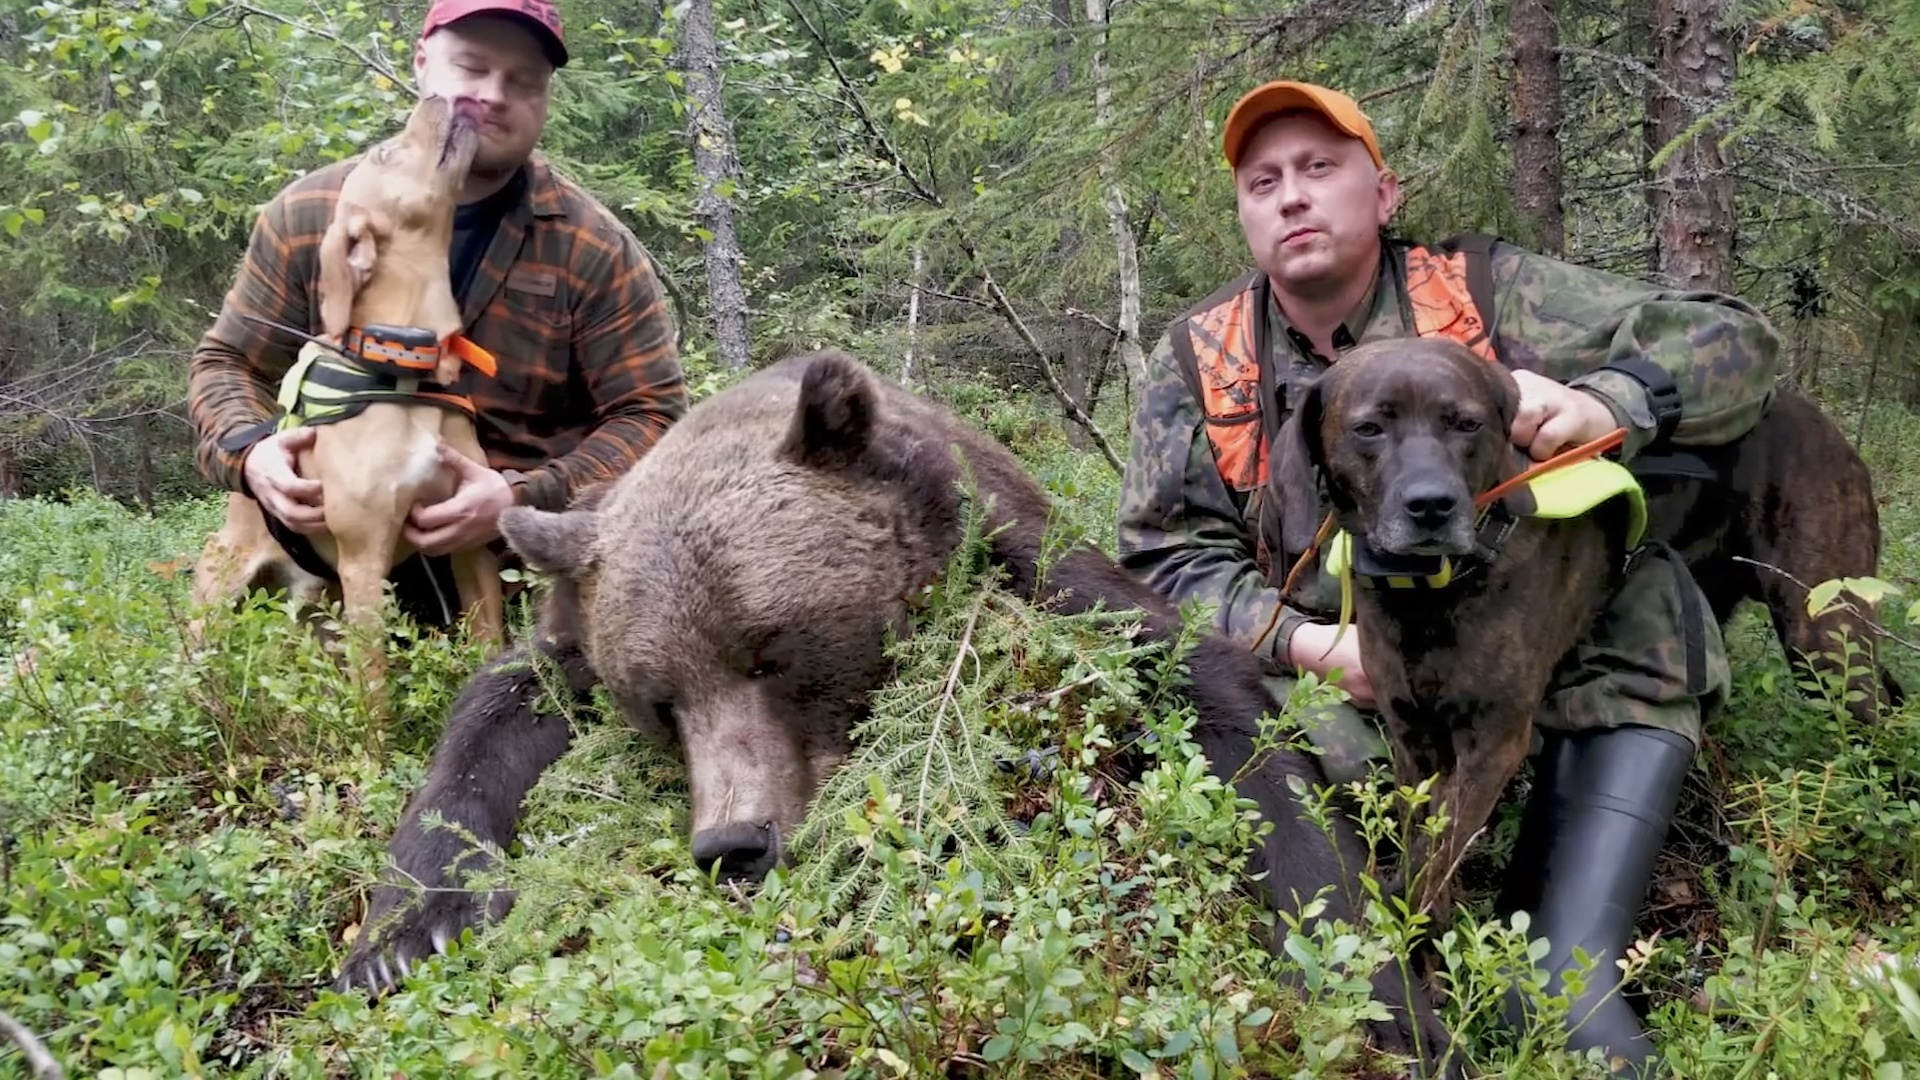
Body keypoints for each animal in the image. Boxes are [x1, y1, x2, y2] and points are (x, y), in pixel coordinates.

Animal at [337, 349, 1459, 1068]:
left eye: (772, 648)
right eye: (657, 700)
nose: (732, 843)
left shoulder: (1025, 564)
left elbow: (1216, 708)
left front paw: (1392, 1012)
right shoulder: (574, 623)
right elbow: (490, 716)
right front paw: (402, 934)